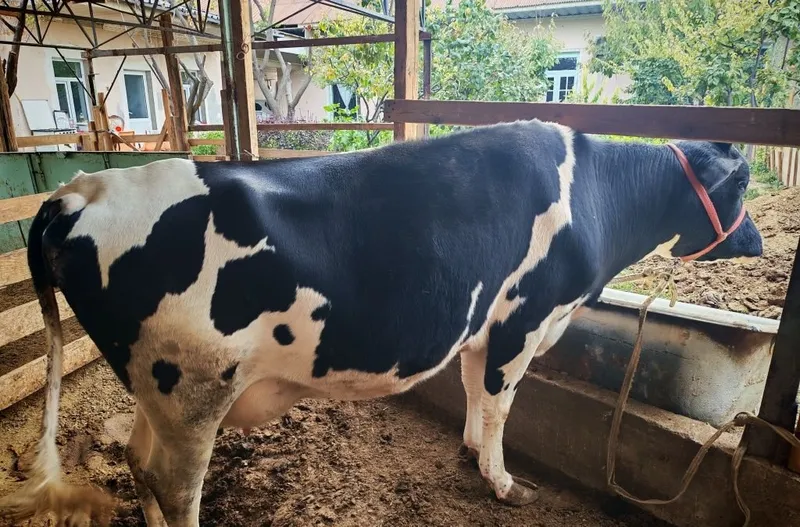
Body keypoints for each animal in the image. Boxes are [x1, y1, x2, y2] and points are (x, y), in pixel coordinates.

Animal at [0, 119, 761, 526]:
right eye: (744, 184)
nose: (755, 244)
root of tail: (80, 190)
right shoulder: (526, 316)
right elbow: (503, 403)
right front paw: (502, 481)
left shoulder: (485, 322)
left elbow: (475, 390)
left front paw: (471, 451)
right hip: (193, 388)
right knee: (174, 482)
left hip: (156, 388)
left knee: (136, 459)